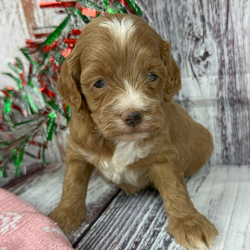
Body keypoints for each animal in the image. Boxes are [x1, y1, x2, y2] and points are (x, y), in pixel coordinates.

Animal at [49, 14, 218, 250]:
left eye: (152, 76)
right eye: (99, 83)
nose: (134, 116)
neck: (118, 141)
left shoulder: (162, 156)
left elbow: (175, 189)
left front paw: (189, 223)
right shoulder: (77, 151)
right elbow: (72, 185)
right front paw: (63, 217)